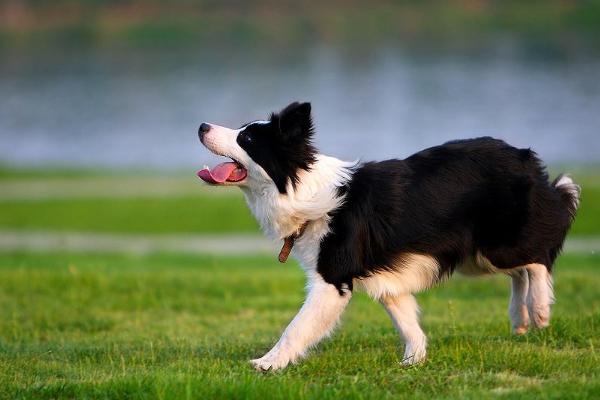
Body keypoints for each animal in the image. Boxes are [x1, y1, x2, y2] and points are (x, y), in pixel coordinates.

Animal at [197, 101, 580, 370]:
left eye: (246, 138)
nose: (201, 126)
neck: (302, 190)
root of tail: (525, 158)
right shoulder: (387, 280)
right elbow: (407, 322)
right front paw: (414, 361)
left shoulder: (332, 279)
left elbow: (296, 326)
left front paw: (268, 363)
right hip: (478, 257)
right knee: (521, 271)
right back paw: (520, 317)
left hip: (496, 244)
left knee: (538, 258)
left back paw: (539, 309)